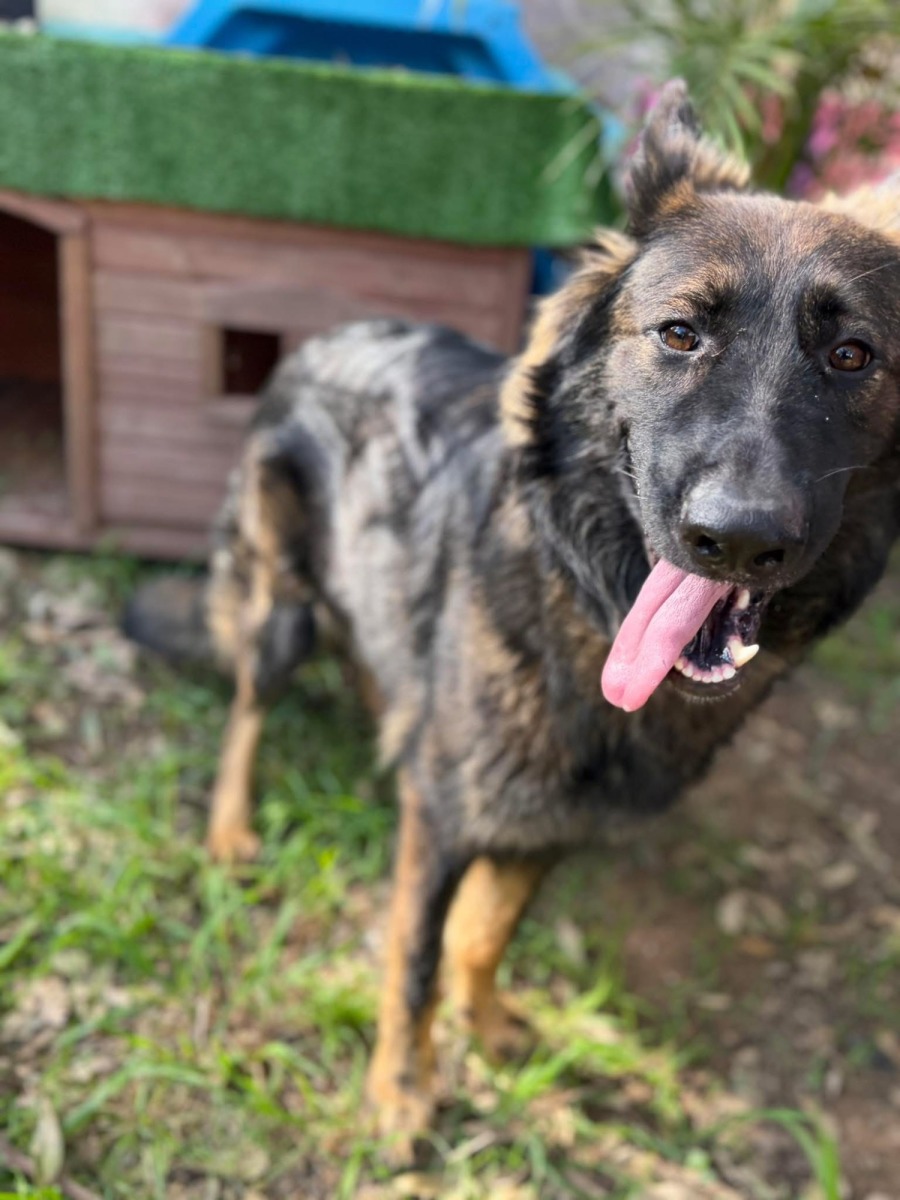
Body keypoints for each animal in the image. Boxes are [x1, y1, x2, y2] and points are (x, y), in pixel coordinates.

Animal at [125, 81, 900, 1144]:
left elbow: (488, 930)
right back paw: (232, 827)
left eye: (852, 356)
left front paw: (485, 1025)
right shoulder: (454, 812)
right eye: (680, 334)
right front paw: (400, 1091)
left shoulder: (551, 814)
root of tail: (323, 336)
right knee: (249, 702)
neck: (583, 595)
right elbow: (413, 954)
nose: (737, 539)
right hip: (280, 603)